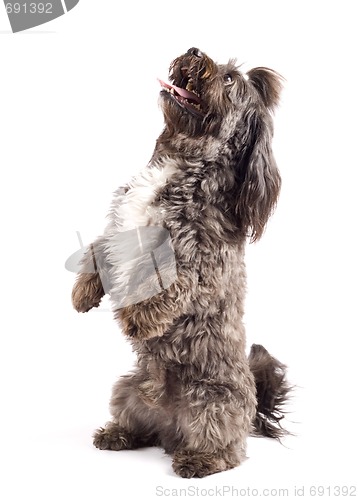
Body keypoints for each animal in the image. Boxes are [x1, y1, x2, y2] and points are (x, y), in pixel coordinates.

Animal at [71, 47, 290, 480]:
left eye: (228, 80)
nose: (193, 51)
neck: (184, 161)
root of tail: (172, 428)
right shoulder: (121, 225)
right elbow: (96, 248)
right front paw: (84, 291)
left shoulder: (195, 258)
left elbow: (164, 286)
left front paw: (136, 318)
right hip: (126, 390)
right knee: (143, 428)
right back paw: (120, 434)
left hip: (213, 403)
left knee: (228, 451)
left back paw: (199, 459)